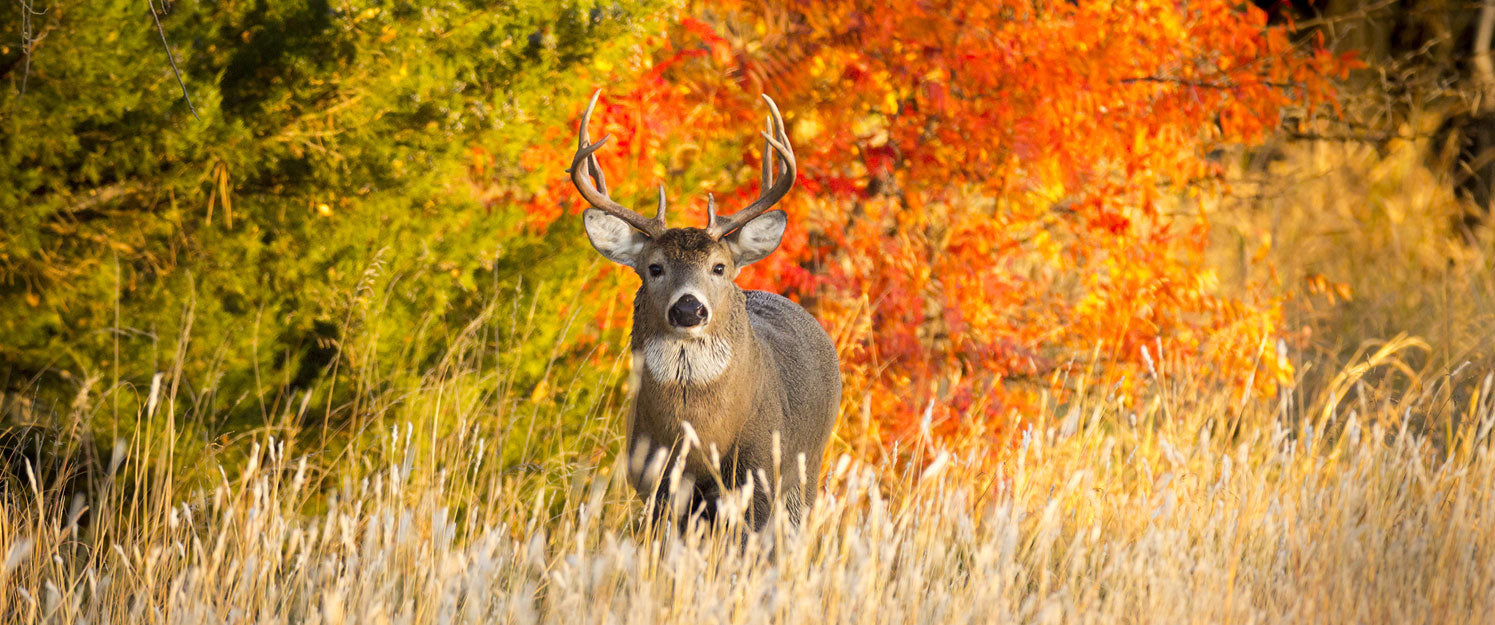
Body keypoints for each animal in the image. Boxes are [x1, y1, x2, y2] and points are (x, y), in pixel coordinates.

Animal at [565, 91, 843, 532]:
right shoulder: (657, 484)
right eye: (654, 267)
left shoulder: (758, 478)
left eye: (719, 267)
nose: (689, 308)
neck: (699, 438)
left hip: (805, 469)